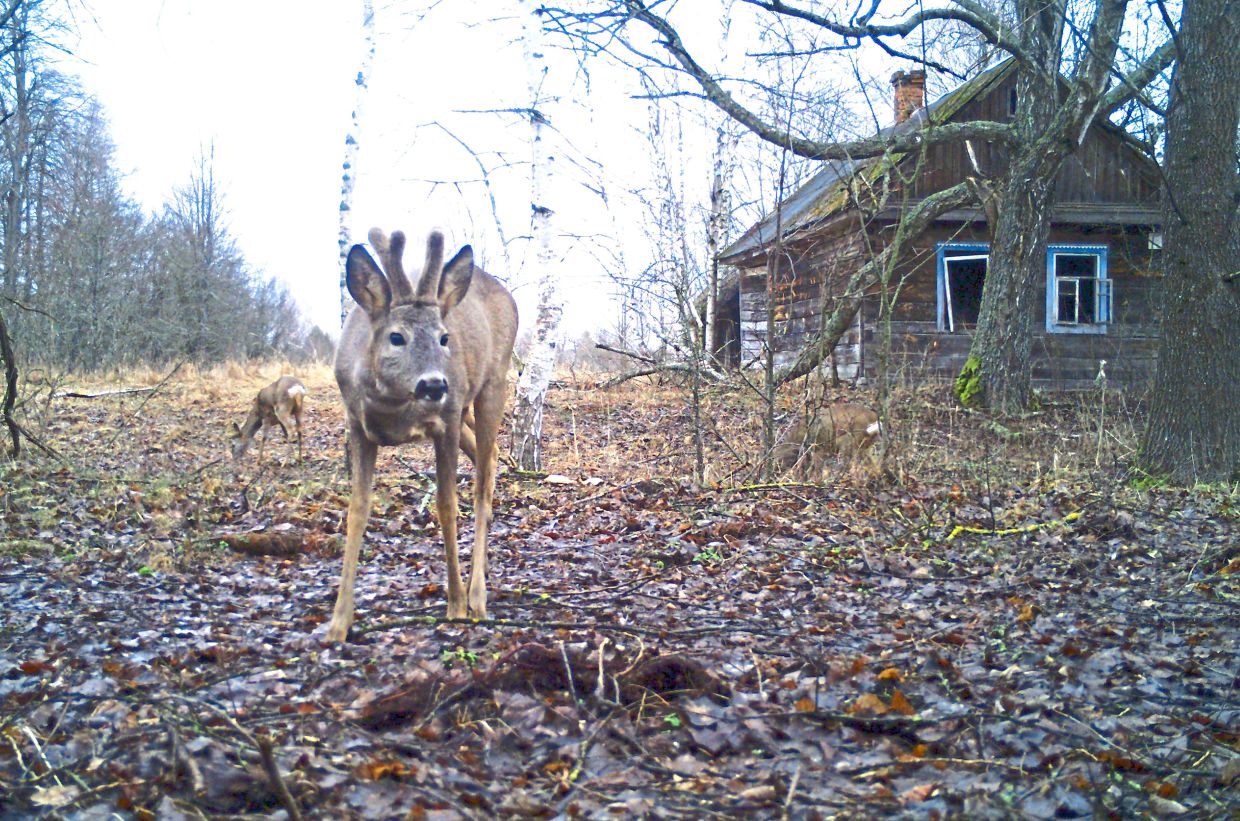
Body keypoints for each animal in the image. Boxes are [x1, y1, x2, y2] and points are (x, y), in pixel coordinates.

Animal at [325, 228, 518, 643]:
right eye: (396, 337)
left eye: (444, 338)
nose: (434, 383)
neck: (395, 405)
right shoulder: (358, 425)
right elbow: (357, 510)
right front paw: (339, 621)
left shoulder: (445, 419)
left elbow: (446, 506)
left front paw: (455, 604)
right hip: (465, 409)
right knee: (491, 455)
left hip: (490, 385)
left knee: (481, 484)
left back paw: (477, 596)